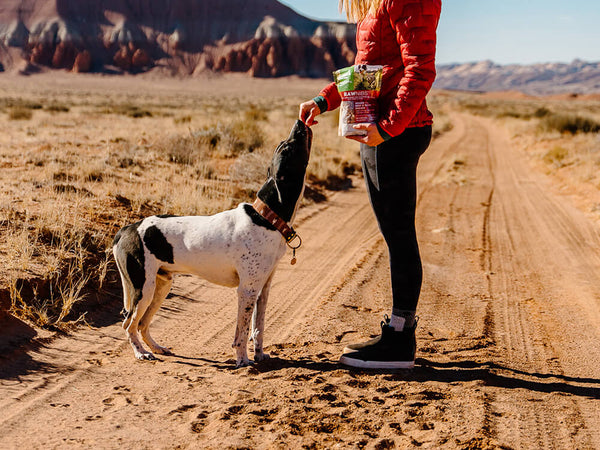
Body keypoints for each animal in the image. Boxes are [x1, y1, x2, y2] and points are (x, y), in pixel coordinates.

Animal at [112, 120, 312, 367]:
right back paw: (140, 352)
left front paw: (259, 355)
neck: (267, 218)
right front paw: (243, 360)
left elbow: (259, 328)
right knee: (129, 324)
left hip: (161, 286)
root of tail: (127, 229)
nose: (300, 122)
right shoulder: (247, 290)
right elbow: (242, 332)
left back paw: (156, 348)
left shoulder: (262, 289)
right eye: (289, 147)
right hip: (143, 289)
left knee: (141, 324)